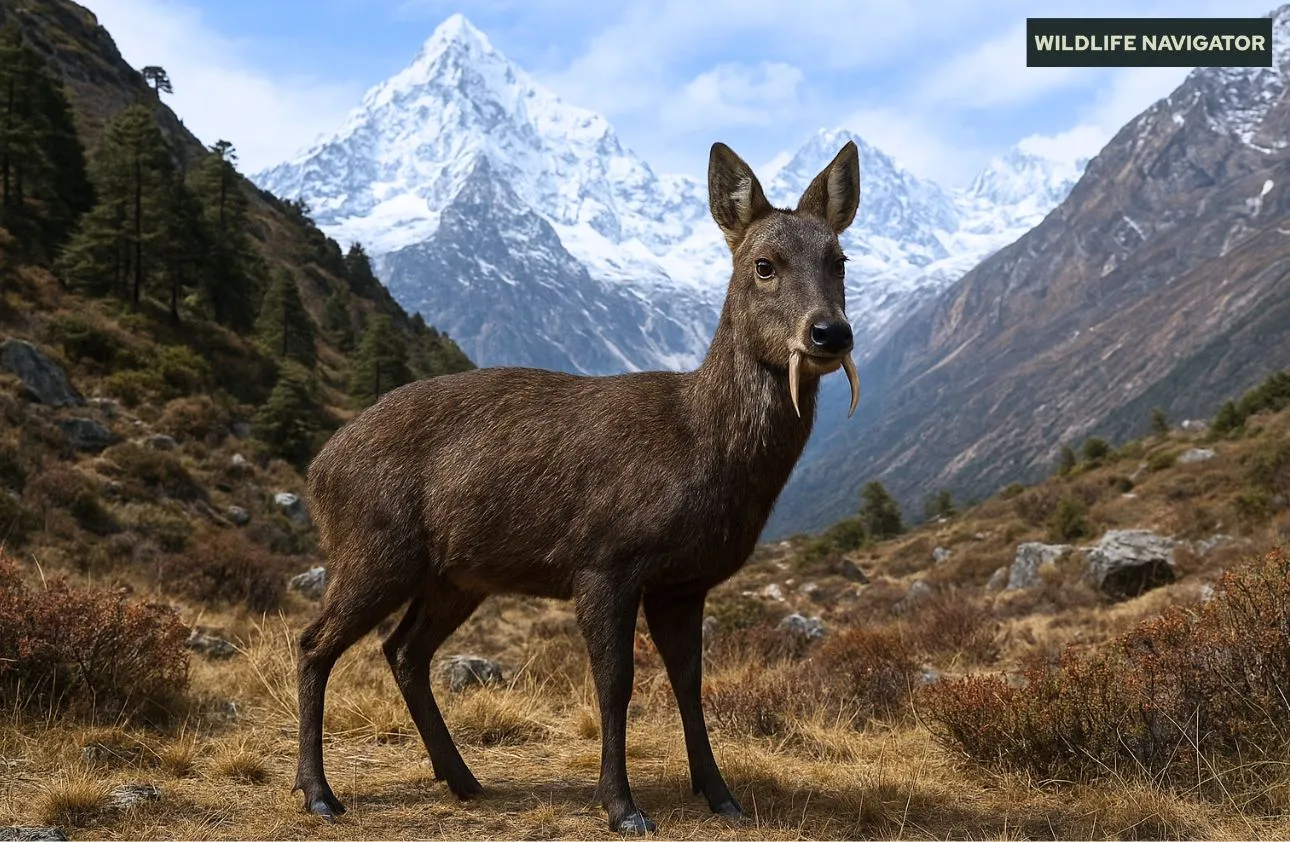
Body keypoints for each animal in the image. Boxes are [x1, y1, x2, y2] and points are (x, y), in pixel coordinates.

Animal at [292, 139, 862, 835]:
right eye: (764, 264)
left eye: (840, 260)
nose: (830, 332)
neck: (699, 446)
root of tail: (318, 470)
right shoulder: (604, 558)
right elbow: (615, 684)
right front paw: (622, 806)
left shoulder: (683, 581)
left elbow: (689, 682)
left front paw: (721, 795)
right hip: (374, 547)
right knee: (314, 643)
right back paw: (319, 793)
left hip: (455, 575)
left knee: (403, 650)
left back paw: (463, 779)